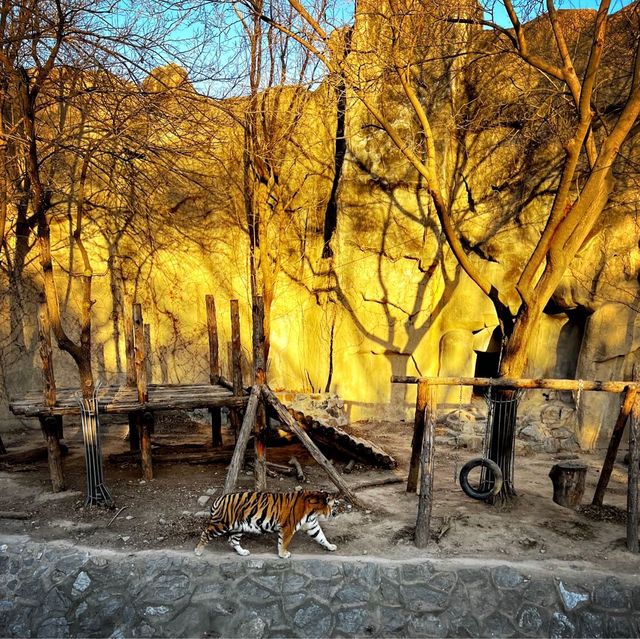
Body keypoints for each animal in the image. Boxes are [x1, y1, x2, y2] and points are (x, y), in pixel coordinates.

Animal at [192, 492, 338, 556]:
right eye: (336, 504)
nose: (338, 512)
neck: (315, 512)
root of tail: (219, 498)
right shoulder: (288, 527)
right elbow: (284, 542)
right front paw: (283, 554)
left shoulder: (312, 525)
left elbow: (321, 537)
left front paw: (331, 546)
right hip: (222, 524)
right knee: (205, 533)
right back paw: (198, 551)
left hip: (237, 527)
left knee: (232, 540)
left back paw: (243, 552)